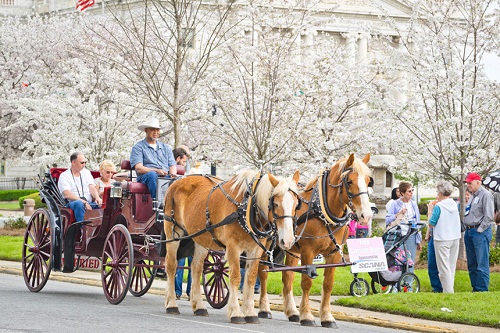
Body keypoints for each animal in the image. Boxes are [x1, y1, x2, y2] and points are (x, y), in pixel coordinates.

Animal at [162, 169, 298, 322]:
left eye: (296, 205)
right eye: (275, 204)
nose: (288, 241)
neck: (247, 207)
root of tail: (178, 181)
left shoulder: (255, 250)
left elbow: (250, 278)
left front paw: (250, 313)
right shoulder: (233, 247)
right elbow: (235, 277)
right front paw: (235, 312)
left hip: (201, 237)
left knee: (196, 268)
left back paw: (199, 307)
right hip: (173, 232)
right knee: (171, 266)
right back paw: (171, 304)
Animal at [260, 153, 374, 326]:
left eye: (368, 181)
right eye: (349, 181)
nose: (366, 215)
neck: (322, 211)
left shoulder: (334, 254)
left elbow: (328, 284)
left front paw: (326, 316)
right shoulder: (308, 252)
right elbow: (307, 282)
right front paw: (307, 315)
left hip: (291, 249)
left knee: (287, 278)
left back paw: (292, 311)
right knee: (262, 272)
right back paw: (264, 309)